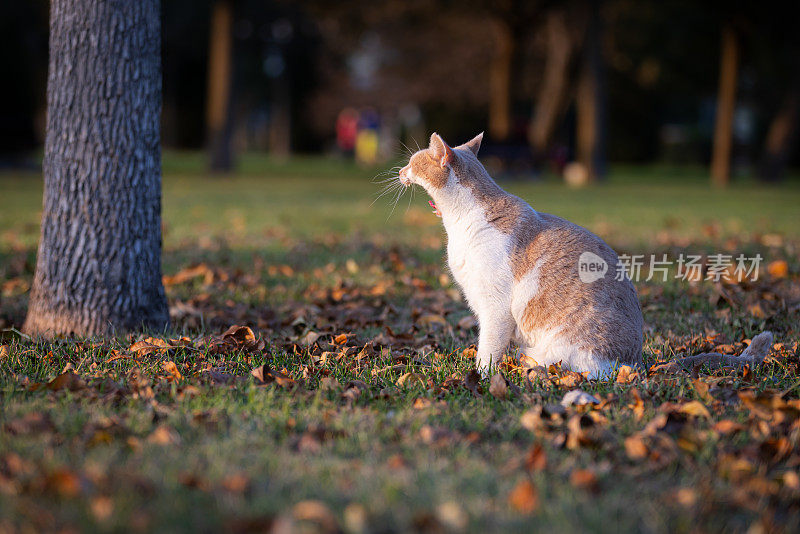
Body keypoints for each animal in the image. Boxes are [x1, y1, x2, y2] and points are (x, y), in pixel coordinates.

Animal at [398, 132, 644, 378]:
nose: (400, 171)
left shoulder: (496, 307)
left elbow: (488, 349)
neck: (460, 222)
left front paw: (482, 376)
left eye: (411, 163)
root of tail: (632, 365)